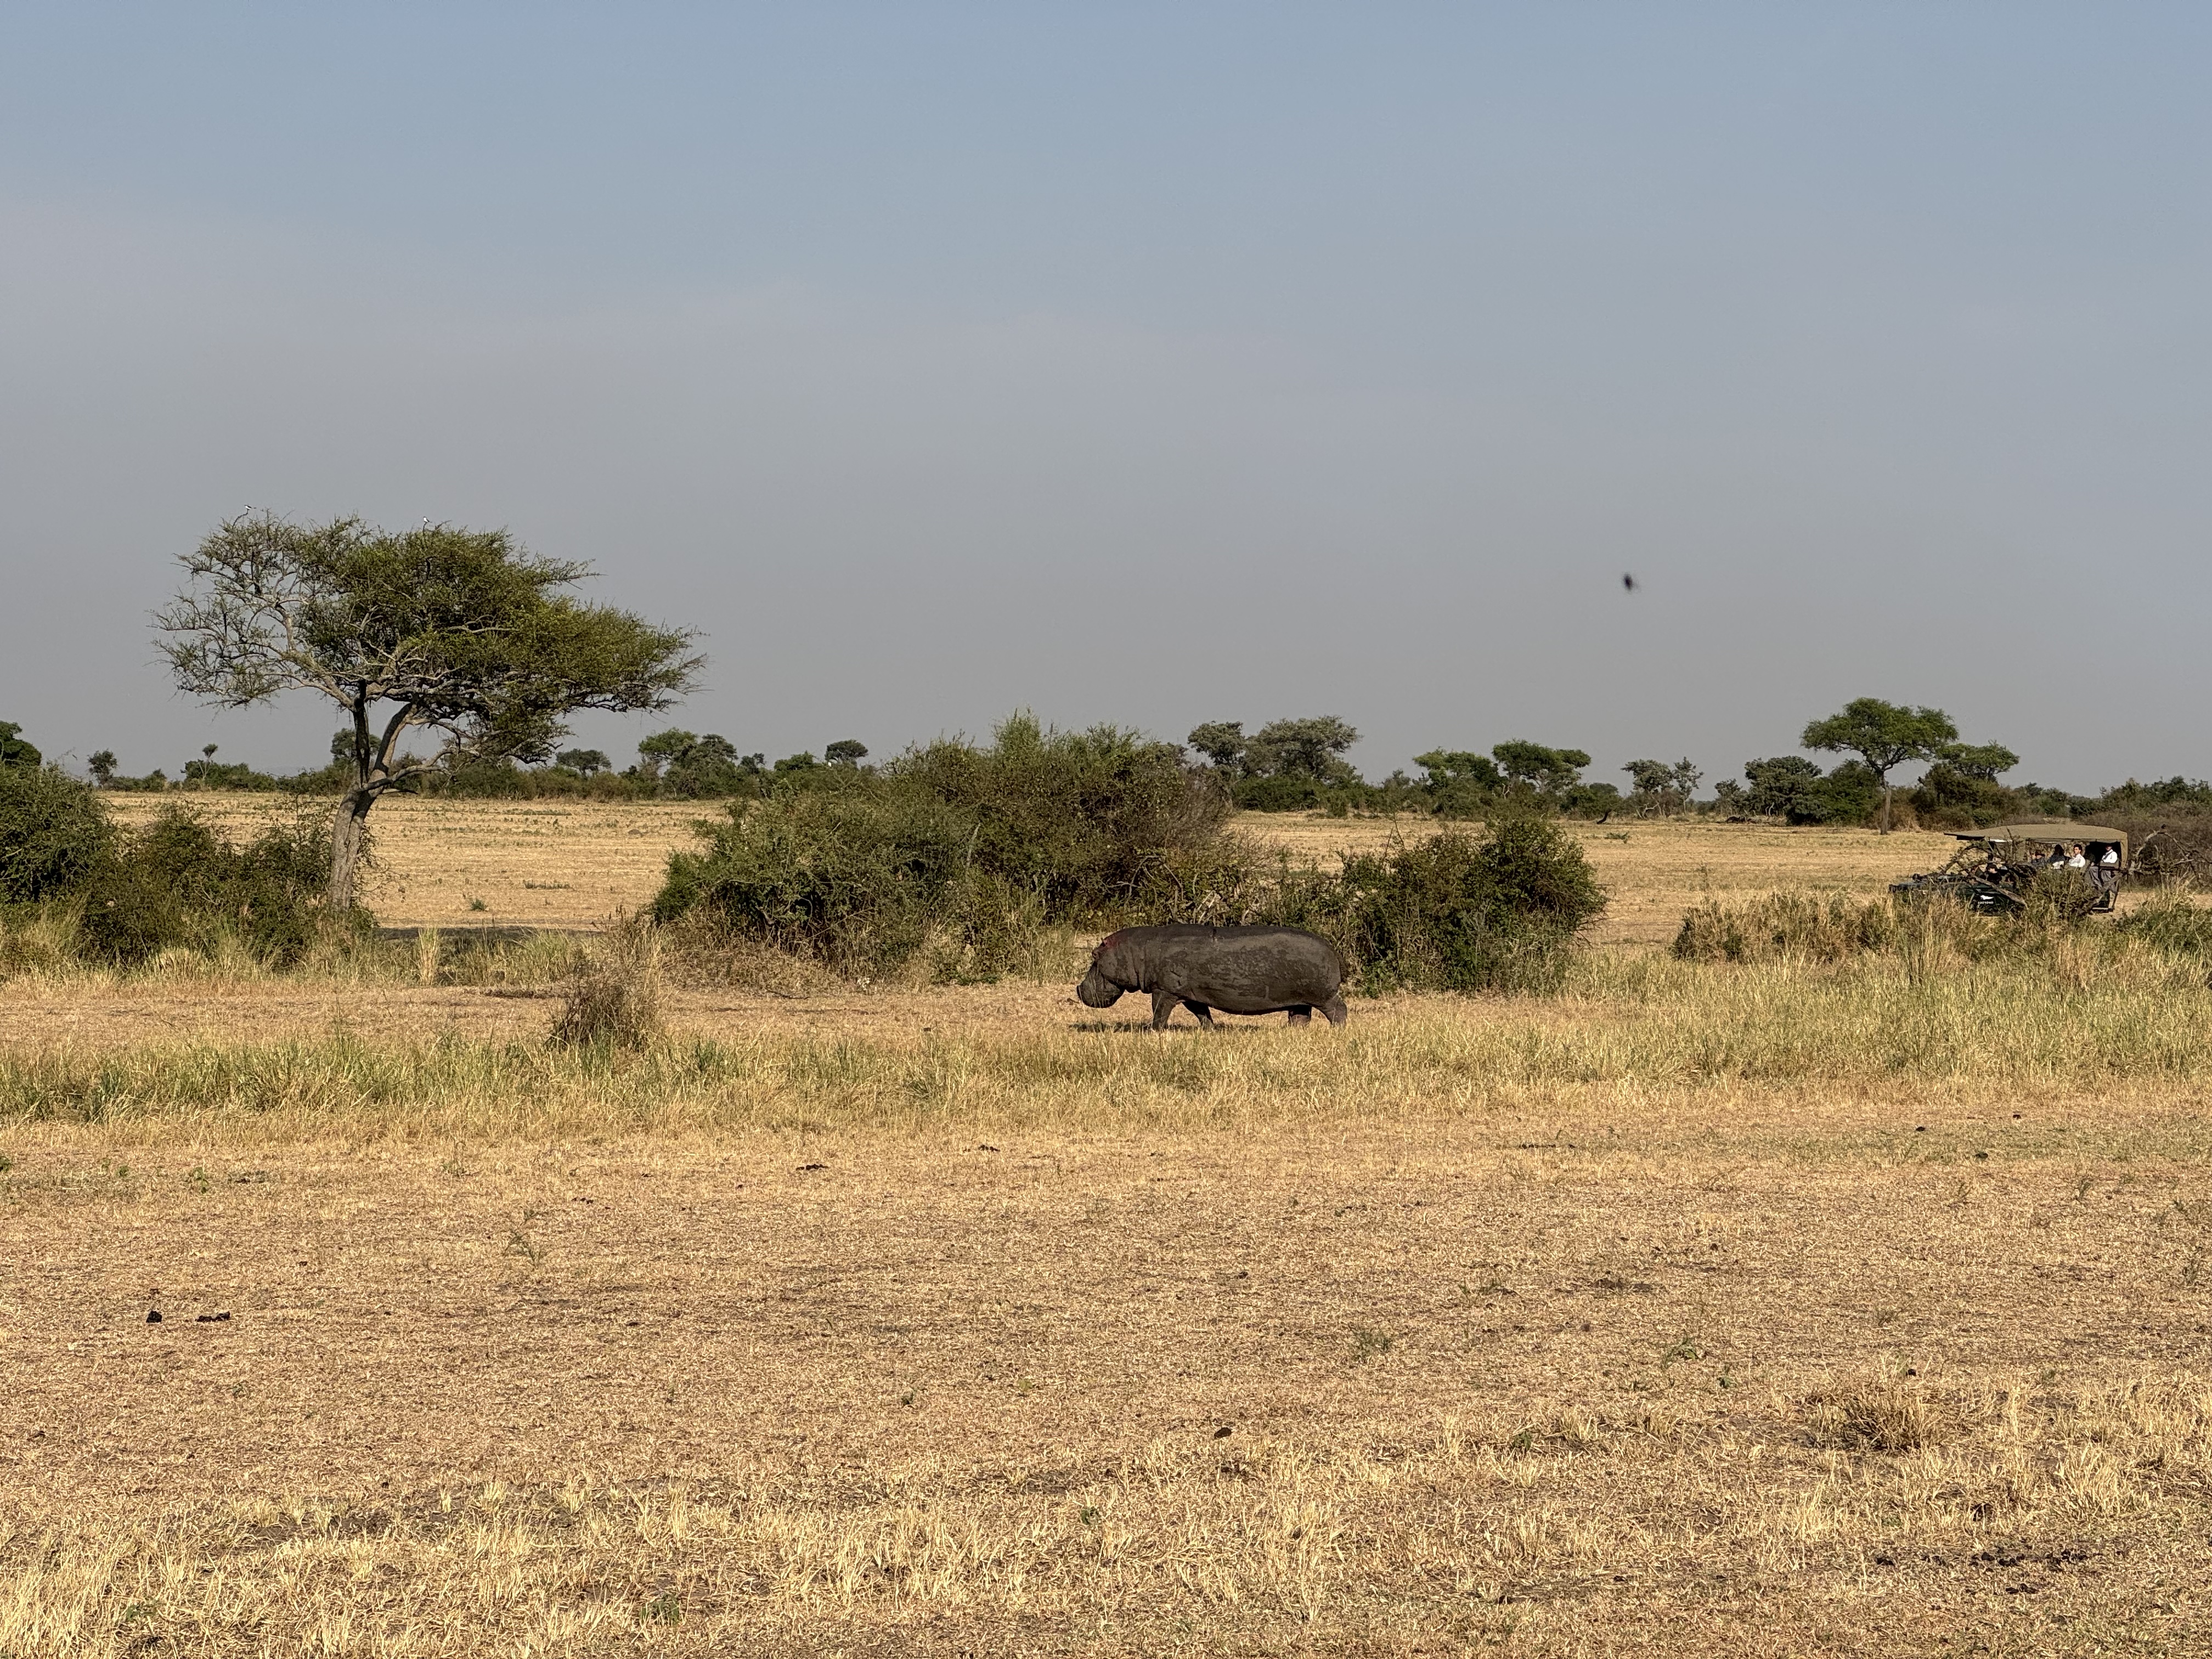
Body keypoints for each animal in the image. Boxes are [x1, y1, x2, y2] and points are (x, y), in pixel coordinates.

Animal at [1076, 924, 1348, 1029]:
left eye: (1094, 955)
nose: (1078, 989)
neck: (1136, 952)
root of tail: (1333, 950)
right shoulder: (1190, 995)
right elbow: (1202, 1014)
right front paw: (1210, 1031)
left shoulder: (1164, 991)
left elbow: (1159, 1013)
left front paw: (1151, 1031)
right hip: (1301, 1000)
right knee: (1300, 1017)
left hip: (1324, 996)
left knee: (1339, 1010)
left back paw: (1338, 1031)